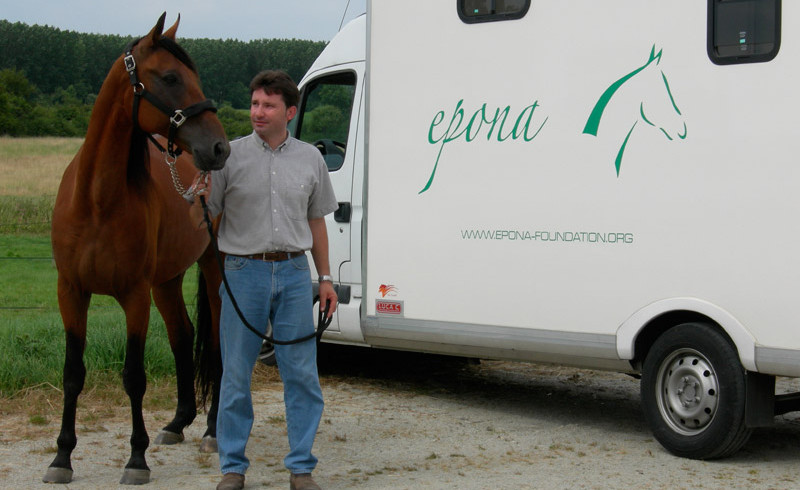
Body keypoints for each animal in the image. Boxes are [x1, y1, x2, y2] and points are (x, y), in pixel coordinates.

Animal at [45, 13, 228, 484]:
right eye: (171, 77)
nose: (218, 148)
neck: (97, 200)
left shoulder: (134, 296)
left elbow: (134, 376)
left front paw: (136, 458)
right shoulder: (71, 292)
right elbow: (73, 373)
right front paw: (62, 457)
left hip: (213, 269)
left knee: (220, 342)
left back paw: (213, 430)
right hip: (167, 281)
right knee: (184, 336)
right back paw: (178, 423)